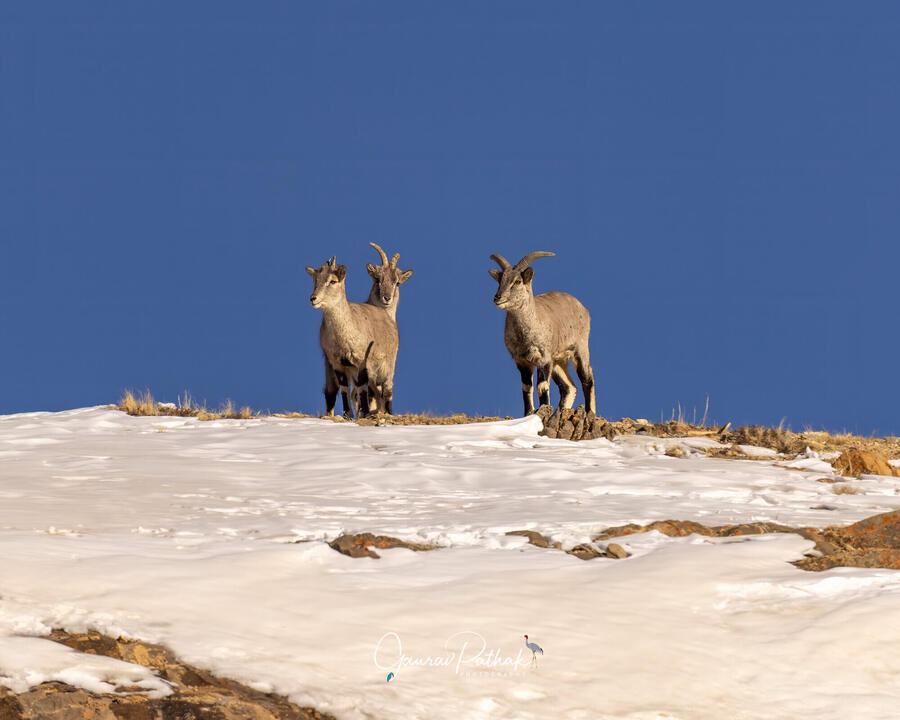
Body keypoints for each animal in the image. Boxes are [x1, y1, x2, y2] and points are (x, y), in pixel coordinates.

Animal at [306, 257, 399, 417]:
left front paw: (365, 413)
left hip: (388, 364)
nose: (313, 298)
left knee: (386, 390)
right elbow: (344, 388)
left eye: (332, 281)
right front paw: (347, 415)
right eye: (315, 279)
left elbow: (362, 387)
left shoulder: (362, 362)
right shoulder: (337, 363)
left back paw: (387, 412)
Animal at [489, 251, 596, 417]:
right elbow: (526, 388)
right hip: (558, 361)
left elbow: (542, 387)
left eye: (518, 281)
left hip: (580, 349)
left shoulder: (543, 359)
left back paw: (590, 413)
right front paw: (528, 414)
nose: (498, 298)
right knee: (569, 387)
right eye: (500, 280)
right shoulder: (522, 362)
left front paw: (542, 411)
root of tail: (583, 308)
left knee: (587, 378)